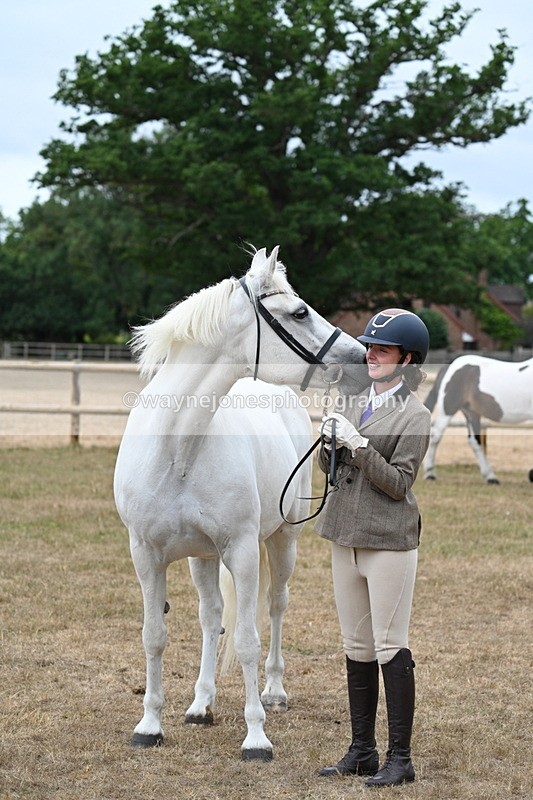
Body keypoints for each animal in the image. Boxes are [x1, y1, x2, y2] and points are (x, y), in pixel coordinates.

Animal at [113, 245, 366, 760]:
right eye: (299, 312)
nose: (362, 357)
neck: (178, 449)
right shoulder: (146, 555)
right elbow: (155, 637)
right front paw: (150, 726)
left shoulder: (244, 552)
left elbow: (248, 640)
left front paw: (256, 737)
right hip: (202, 557)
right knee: (212, 619)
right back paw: (201, 703)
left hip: (281, 544)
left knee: (275, 607)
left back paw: (274, 692)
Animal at [423, 354, 533, 483]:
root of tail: (449, 367)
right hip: (448, 409)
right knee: (435, 437)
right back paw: (430, 473)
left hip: (472, 413)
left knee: (475, 442)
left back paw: (490, 477)